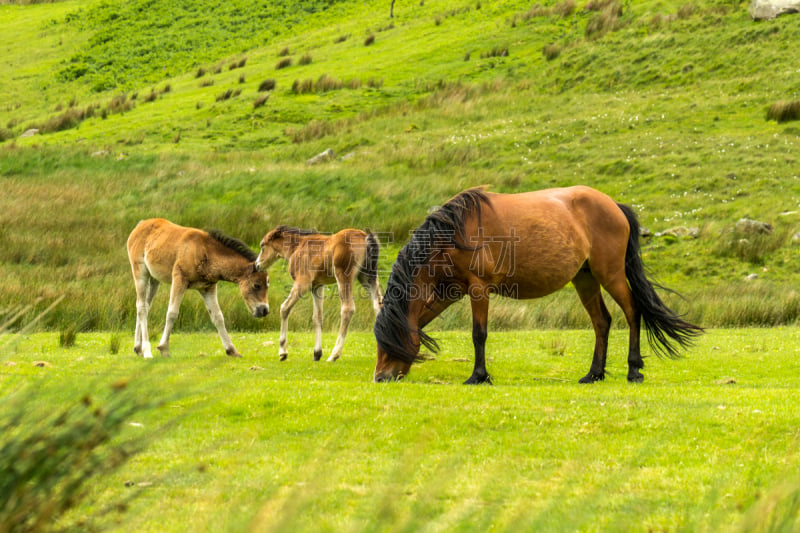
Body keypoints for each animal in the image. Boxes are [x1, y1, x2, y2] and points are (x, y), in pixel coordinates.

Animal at [126, 218, 270, 360]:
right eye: (256, 285)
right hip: (140, 272)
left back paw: (138, 348)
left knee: (146, 305)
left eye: (268, 284)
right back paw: (147, 352)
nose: (264, 310)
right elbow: (172, 313)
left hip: (154, 280)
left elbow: (218, 317)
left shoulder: (208, 288)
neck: (206, 252)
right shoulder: (179, 279)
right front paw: (164, 348)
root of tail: (140, 225)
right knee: (141, 307)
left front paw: (232, 350)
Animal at [255, 224, 382, 362]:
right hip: (367, 276)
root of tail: (365, 237)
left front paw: (283, 352)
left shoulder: (302, 282)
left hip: (344, 276)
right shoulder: (317, 286)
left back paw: (334, 355)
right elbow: (317, 317)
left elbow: (284, 308)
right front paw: (317, 353)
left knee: (348, 308)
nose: (257, 265)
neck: (297, 247)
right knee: (378, 305)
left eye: (262, 245)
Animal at [374, 186, 700, 382]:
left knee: (632, 312)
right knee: (602, 322)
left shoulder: (478, 289)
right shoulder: (449, 291)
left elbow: (479, 334)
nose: (380, 377)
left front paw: (479, 376)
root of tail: (613, 205)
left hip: (611, 274)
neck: (453, 234)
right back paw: (594, 374)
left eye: (388, 339)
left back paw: (634, 369)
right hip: (585, 279)